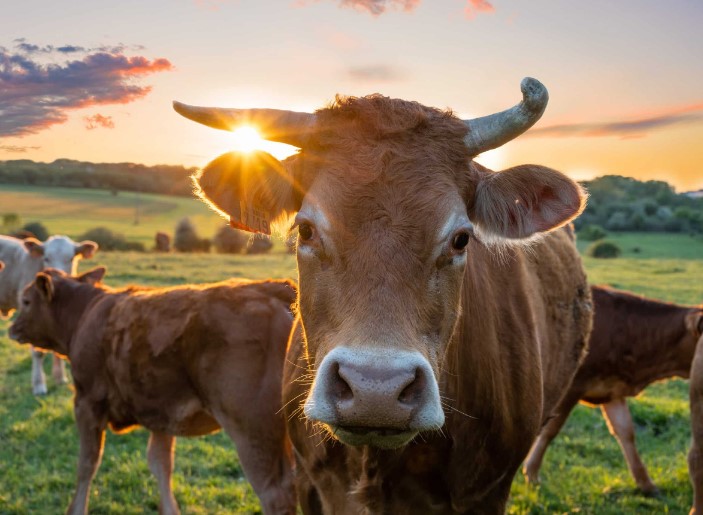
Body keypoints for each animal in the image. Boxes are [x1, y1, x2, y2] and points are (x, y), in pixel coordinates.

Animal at [9, 268, 297, 515]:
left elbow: (87, 464)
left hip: (253, 432)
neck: (85, 314)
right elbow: (160, 464)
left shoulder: (86, 403)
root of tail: (273, 289)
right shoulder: (161, 412)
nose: (11, 328)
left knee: (277, 495)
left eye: (26, 301)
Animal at [523, 285, 703, 494]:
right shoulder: (572, 387)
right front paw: (532, 472)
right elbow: (550, 430)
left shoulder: (611, 390)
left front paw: (646, 483)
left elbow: (626, 432)